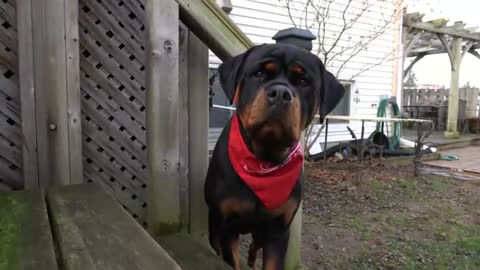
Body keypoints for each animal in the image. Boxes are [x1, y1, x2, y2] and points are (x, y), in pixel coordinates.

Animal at [204, 43, 344, 268]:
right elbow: (231, 259)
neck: (263, 161)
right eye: (259, 73)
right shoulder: (227, 225)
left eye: (303, 81)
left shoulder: (278, 229)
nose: (280, 92)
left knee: (254, 246)